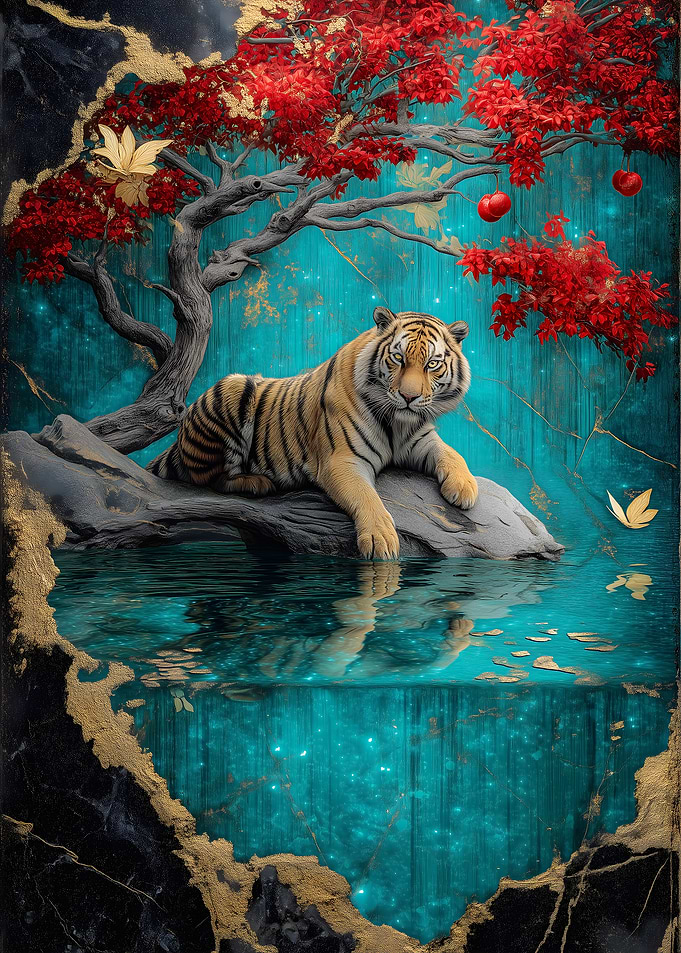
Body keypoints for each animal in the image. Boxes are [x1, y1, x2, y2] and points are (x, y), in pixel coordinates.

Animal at [147, 307, 478, 559]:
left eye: (432, 364)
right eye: (398, 358)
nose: (409, 397)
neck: (398, 422)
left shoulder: (420, 441)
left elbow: (452, 453)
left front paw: (465, 488)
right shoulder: (341, 462)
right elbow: (367, 497)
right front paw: (380, 540)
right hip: (234, 387)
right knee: (211, 479)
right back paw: (256, 483)